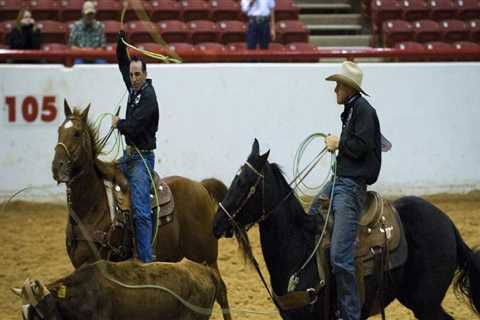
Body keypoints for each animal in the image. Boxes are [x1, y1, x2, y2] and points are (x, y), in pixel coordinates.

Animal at [51, 100, 232, 320]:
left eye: (77, 133)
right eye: (59, 131)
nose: (57, 167)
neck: (92, 207)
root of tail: (201, 186)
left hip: (206, 255)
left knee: (221, 290)